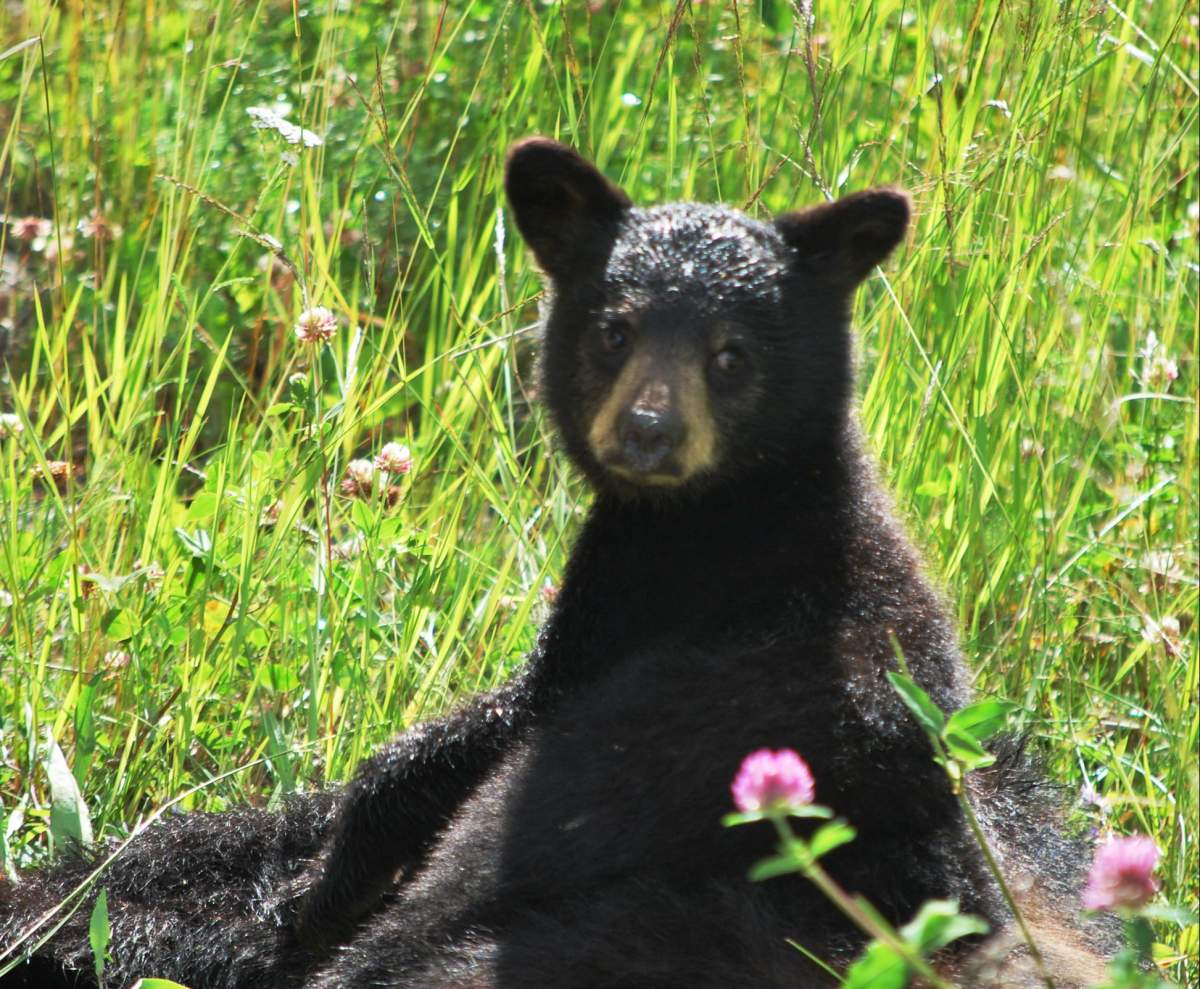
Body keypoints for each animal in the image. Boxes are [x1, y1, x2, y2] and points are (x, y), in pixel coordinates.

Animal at [0, 139, 1112, 988]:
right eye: (615, 329)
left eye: (731, 353)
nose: (650, 432)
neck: (713, 525)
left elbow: (487, 736)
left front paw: (322, 884)